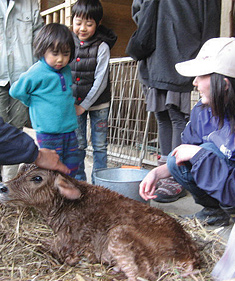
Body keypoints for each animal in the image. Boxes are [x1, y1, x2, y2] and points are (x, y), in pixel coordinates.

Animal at [0, 163, 200, 278]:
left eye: (37, 178)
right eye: (20, 170)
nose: (3, 187)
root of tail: (189, 255)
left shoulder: (67, 241)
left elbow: (35, 242)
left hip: (119, 235)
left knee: (142, 275)